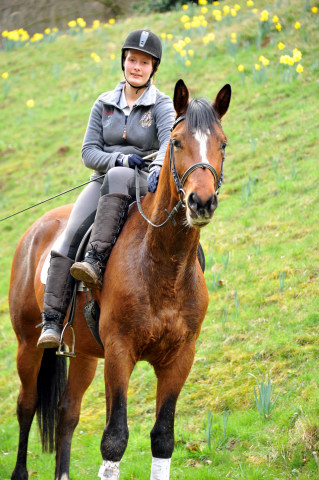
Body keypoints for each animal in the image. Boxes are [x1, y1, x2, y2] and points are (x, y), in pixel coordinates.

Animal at [8, 79, 231, 480]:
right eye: (177, 142)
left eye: (221, 143)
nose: (201, 202)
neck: (164, 267)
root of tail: (36, 228)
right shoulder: (119, 351)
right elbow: (114, 439)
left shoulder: (180, 357)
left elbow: (163, 438)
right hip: (27, 344)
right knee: (27, 406)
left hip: (83, 353)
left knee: (67, 412)